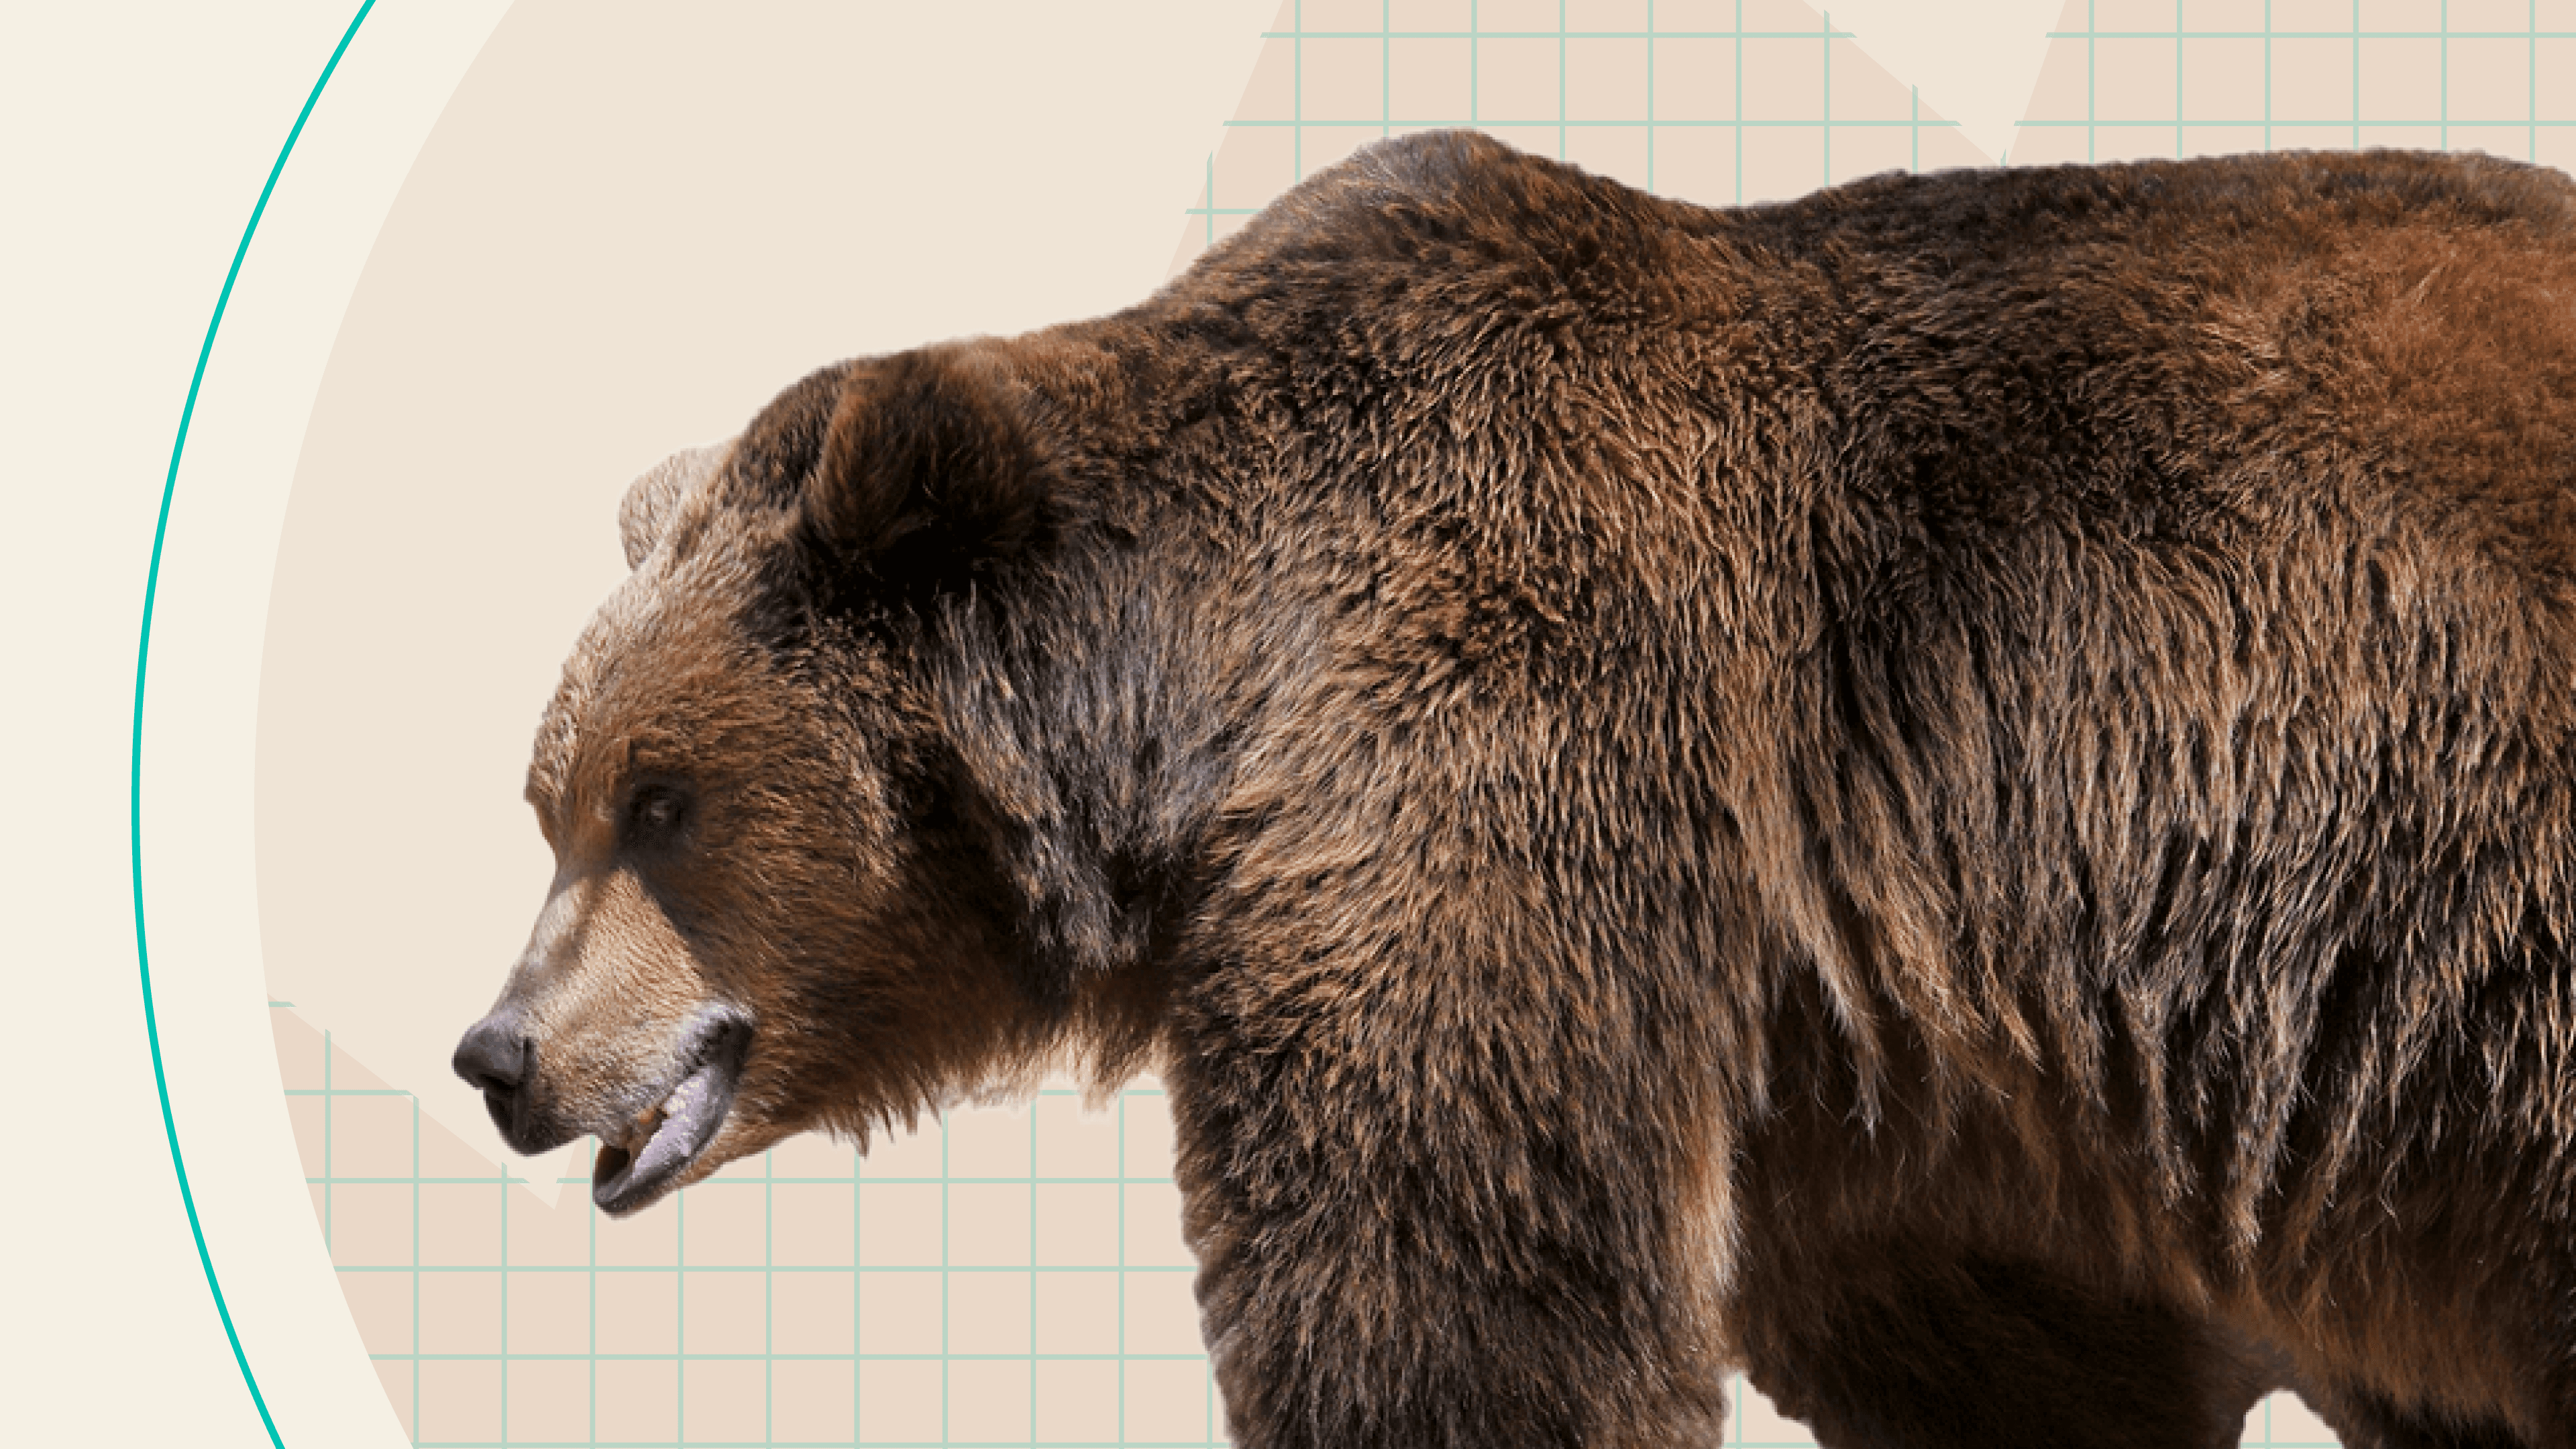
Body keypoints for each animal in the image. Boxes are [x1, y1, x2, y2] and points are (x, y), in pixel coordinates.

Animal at [453, 130, 2576, 1448]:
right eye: (555, 802)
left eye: (662, 798)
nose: (499, 1055)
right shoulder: (1899, 1066)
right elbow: (2006, 1350)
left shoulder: (1502, 745)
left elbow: (1456, 1294)